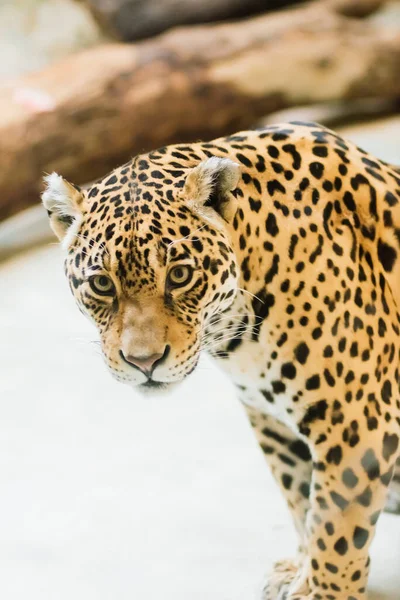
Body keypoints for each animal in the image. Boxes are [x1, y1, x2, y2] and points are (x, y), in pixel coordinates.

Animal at [41, 123, 400, 600]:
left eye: (179, 275)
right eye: (101, 284)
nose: (143, 361)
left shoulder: (355, 420)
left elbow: (335, 529)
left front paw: (325, 591)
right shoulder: (267, 416)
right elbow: (300, 502)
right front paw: (299, 571)